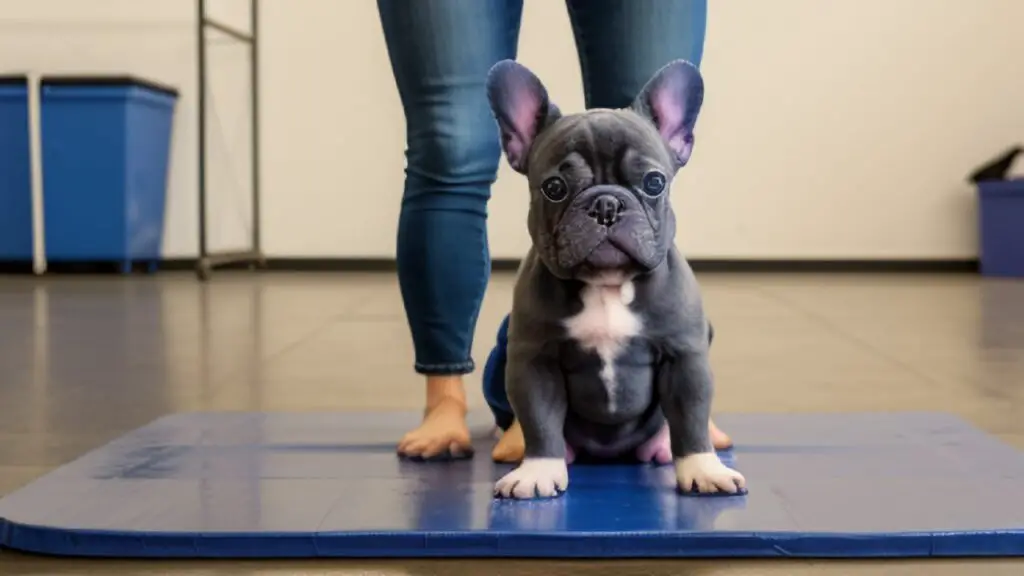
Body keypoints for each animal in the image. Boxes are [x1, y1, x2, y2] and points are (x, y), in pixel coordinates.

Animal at [487, 59, 745, 498]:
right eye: (554, 188)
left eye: (655, 182)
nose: (606, 204)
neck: (607, 284)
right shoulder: (534, 361)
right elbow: (539, 419)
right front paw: (539, 470)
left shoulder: (684, 357)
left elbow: (691, 417)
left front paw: (703, 468)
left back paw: (662, 447)